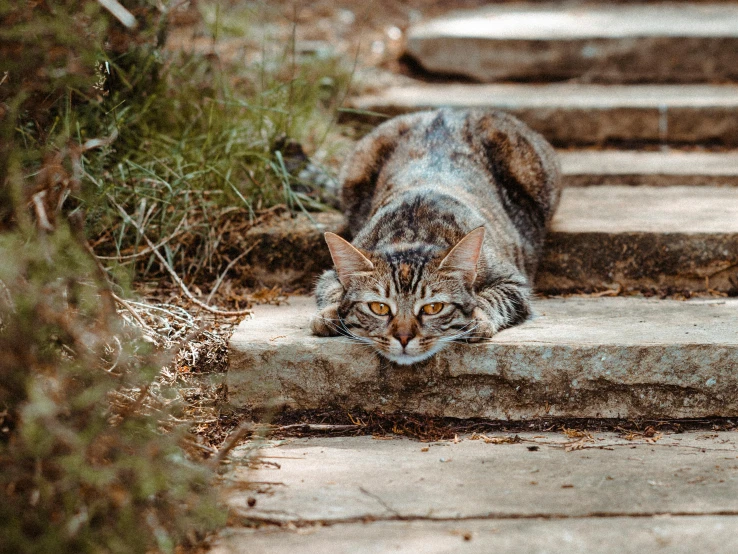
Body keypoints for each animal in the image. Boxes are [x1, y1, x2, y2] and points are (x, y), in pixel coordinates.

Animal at [310, 109, 556, 364]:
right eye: (379, 308)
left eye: (432, 308)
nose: (404, 337)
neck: (412, 234)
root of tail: (450, 110)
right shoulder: (331, 274)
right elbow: (333, 291)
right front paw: (330, 313)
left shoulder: (514, 283)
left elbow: (492, 297)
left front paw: (476, 317)